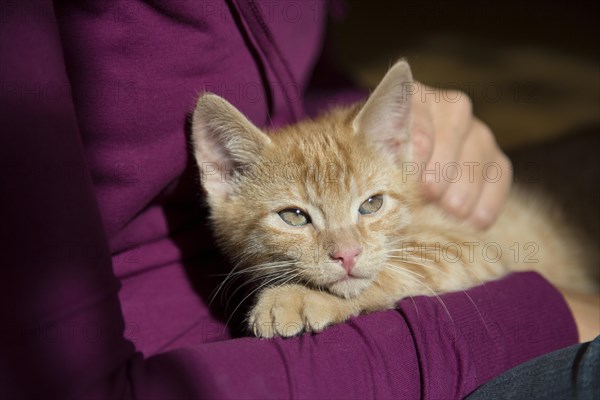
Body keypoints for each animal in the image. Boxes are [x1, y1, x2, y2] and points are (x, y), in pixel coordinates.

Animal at [191, 60, 596, 338]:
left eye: (371, 204)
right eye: (294, 216)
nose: (347, 254)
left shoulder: (473, 246)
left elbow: (397, 267)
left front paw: (296, 298)